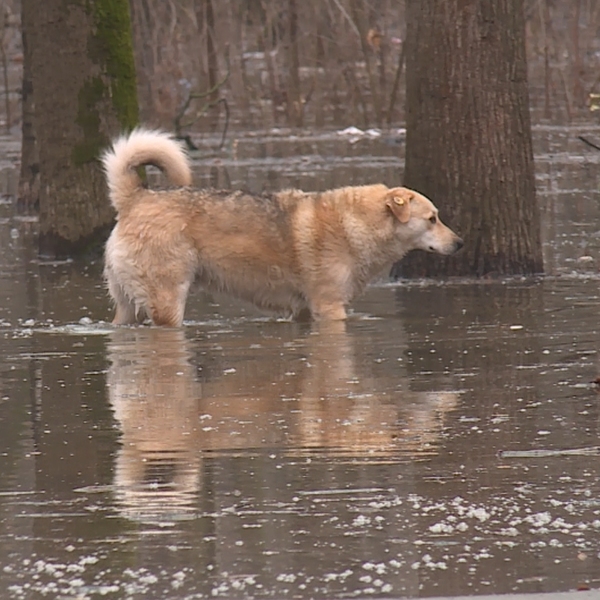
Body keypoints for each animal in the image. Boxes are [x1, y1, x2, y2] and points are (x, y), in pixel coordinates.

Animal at [102, 127, 464, 328]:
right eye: (432, 219)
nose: (460, 243)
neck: (355, 224)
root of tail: (135, 197)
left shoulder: (303, 311)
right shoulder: (330, 308)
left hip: (127, 307)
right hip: (167, 302)